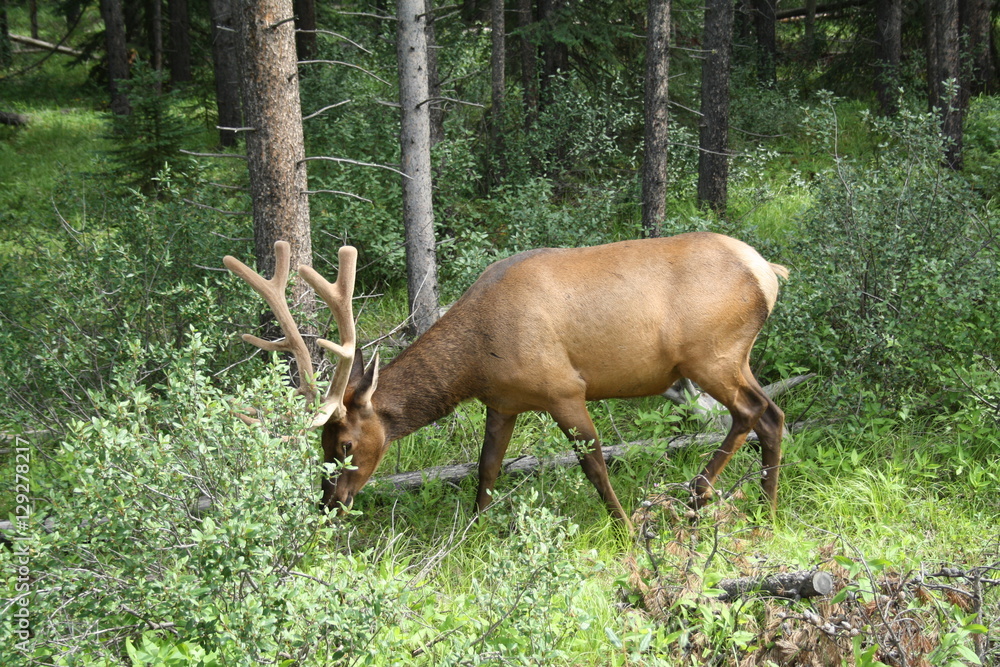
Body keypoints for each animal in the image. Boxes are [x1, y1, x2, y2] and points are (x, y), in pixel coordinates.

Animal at [224, 232, 789, 529]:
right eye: (320, 446)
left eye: (344, 443)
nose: (329, 504)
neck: (478, 358)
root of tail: (770, 271)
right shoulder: (504, 401)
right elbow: (487, 468)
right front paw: (474, 530)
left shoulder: (564, 389)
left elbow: (594, 464)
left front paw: (625, 527)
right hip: (734, 358)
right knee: (774, 414)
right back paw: (766, 507)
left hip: (711, 356)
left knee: (751, 412)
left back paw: (697, 496)